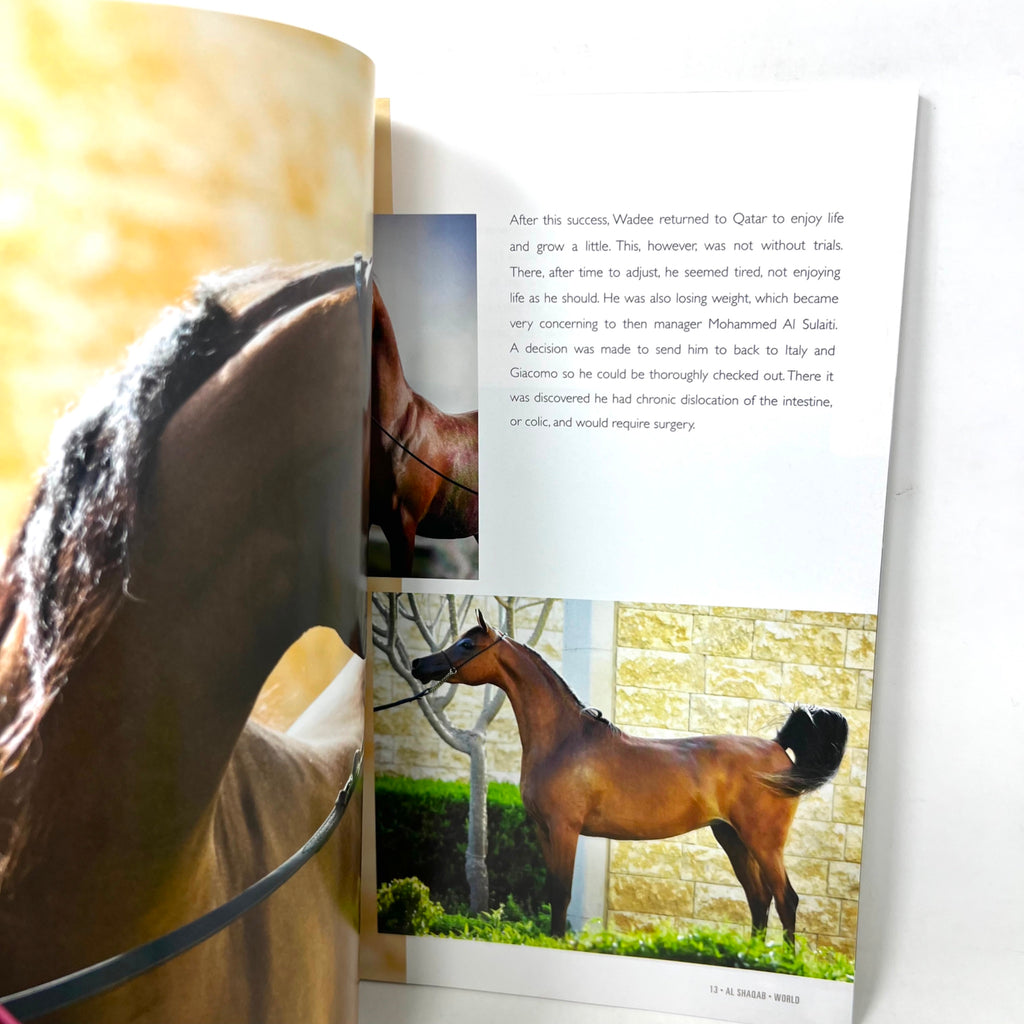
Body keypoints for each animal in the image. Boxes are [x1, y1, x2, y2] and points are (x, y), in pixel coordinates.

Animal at [411, 612, 848, 943]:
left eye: (467, 645)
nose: (420, 665)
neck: (565, 740)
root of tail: (777, 747)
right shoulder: (543, 829)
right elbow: (554, 890)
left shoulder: (565, 828)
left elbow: (562, 892)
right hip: (732, 837)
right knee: (759, 899)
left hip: (763, 842)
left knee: (785, 899)